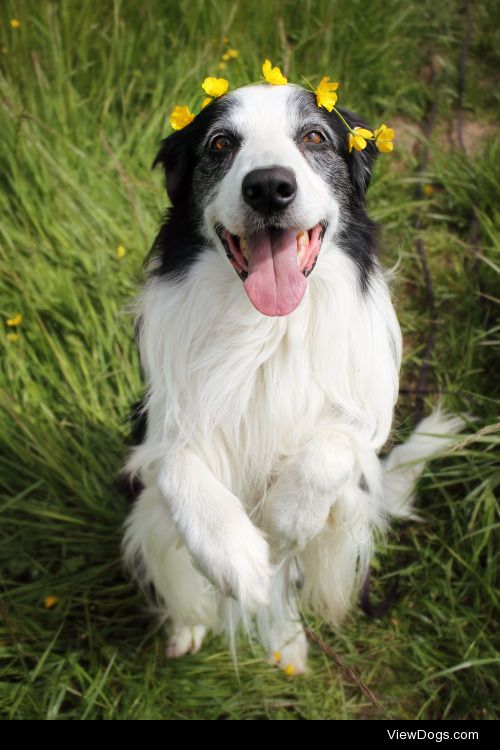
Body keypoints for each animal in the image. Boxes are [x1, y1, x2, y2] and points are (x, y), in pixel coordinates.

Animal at [121, 82, 460, 676]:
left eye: (315, 137)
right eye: (220, 143)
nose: (268, 187)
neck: (266, 327)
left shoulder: (355, 430)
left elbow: (334, 447)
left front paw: (283, 521)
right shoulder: (156, 420)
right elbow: (178, 463)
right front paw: (237, 557)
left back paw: (287, 644)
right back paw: (190, 626)